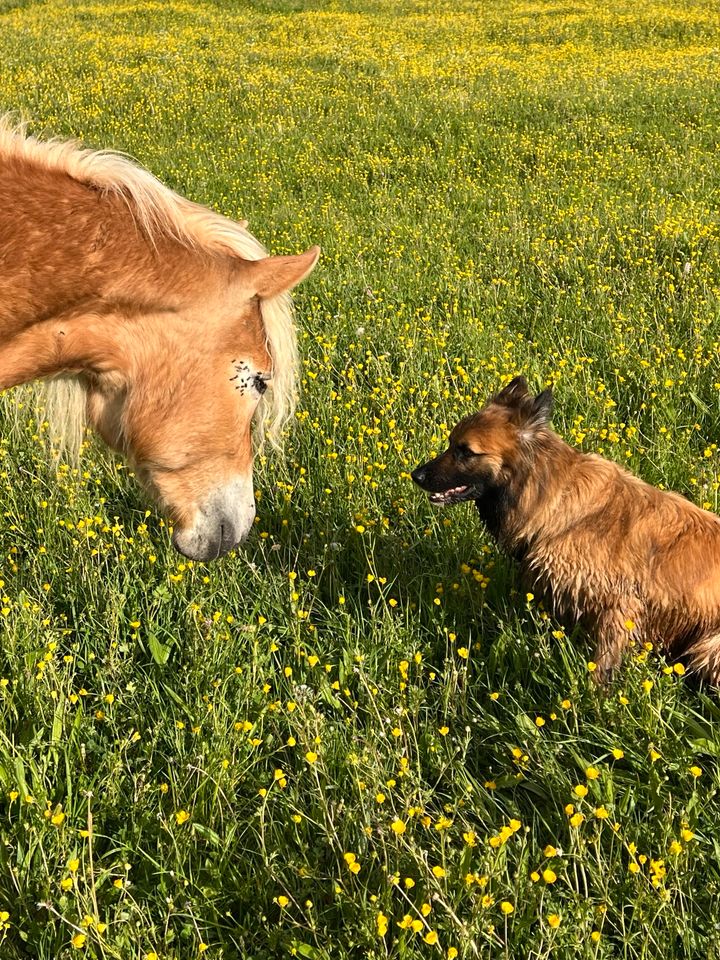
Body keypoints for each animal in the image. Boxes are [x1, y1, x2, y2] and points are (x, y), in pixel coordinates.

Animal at [414, 376, 720, 684]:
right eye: (451, 443)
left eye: (465, 451)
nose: (416, 476)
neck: (553, 500)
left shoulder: (617, 607)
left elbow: (603, 664)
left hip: (709, 648)